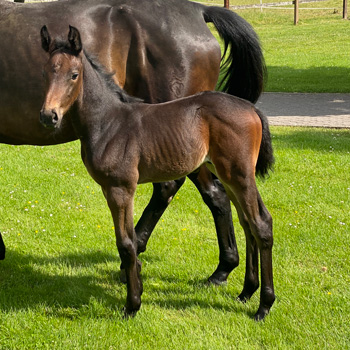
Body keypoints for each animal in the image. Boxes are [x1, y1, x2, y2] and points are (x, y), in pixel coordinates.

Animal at [39, 26, 274, 322]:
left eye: (74, 75)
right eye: (47, 72)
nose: (49, 116)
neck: (108, 122)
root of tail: (251, 108)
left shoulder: (121, 188)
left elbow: (126, 243)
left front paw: (132, 304)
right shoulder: (109, 188)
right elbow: (127, 241)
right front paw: (135, 293)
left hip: (240, 175)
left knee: (261, 224)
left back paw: (264, 305)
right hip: (228, 176)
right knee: (248, 223)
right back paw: (246, 292)